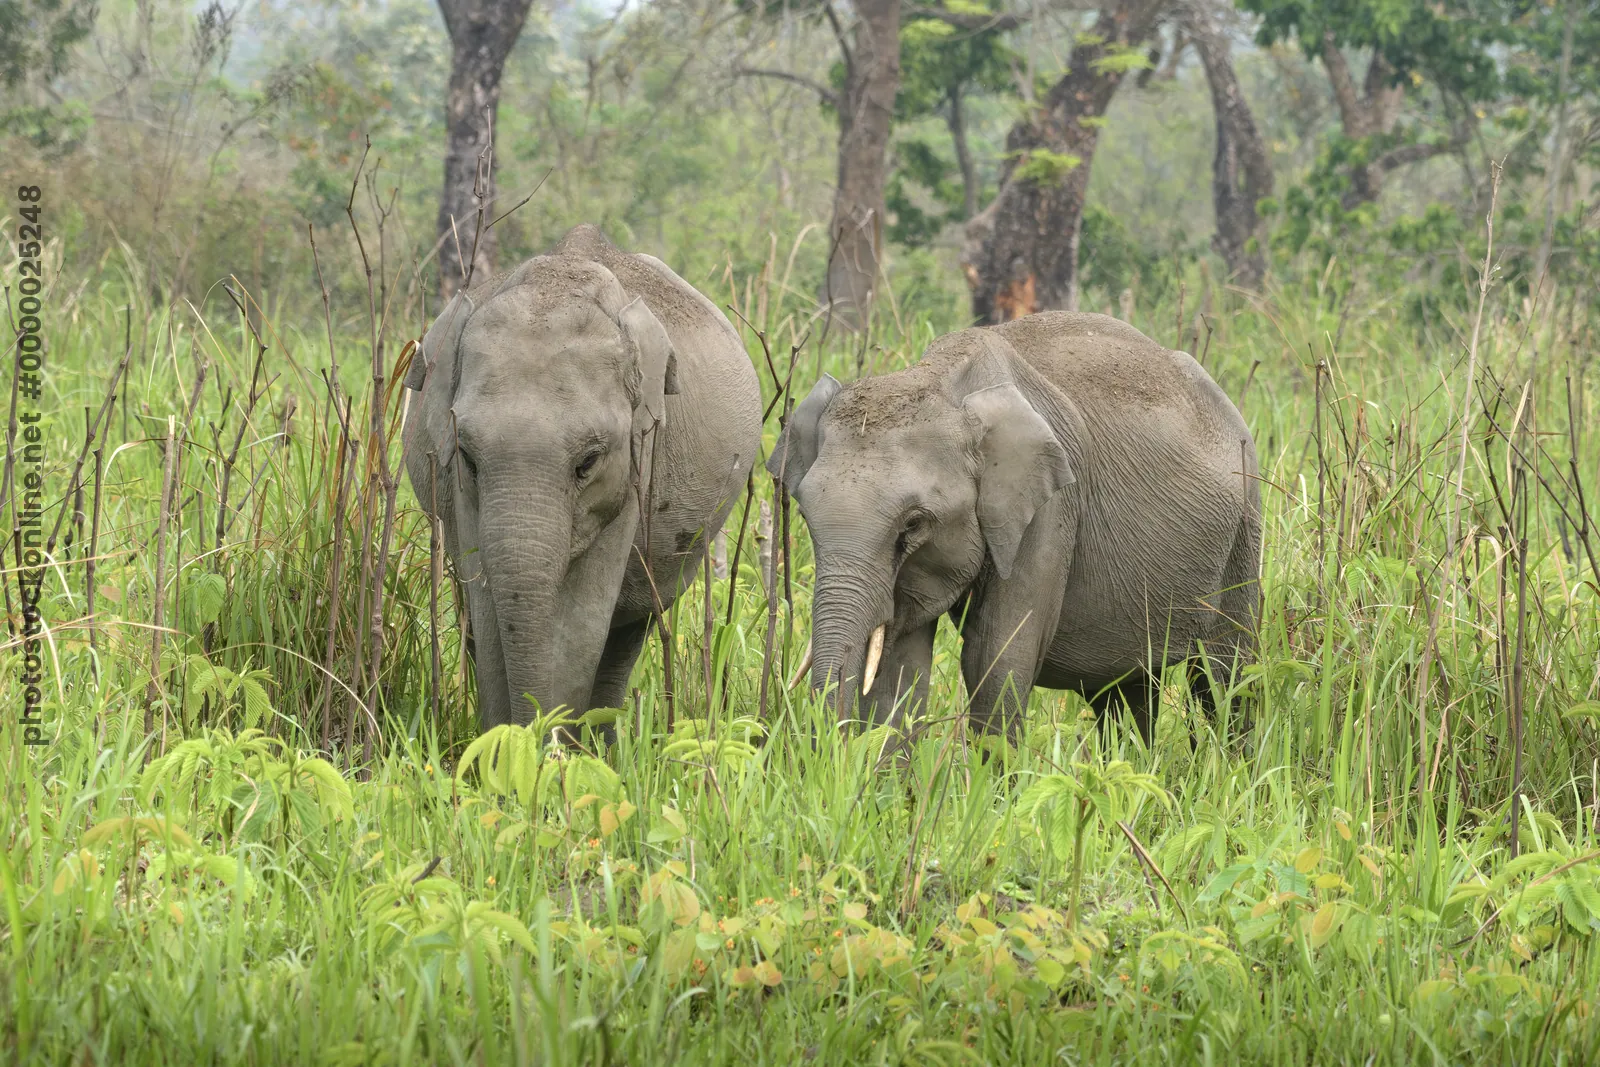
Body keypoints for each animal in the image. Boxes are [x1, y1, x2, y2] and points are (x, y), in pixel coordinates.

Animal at [402, 224, 762, 730]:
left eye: (588, 462)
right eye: (469, 459)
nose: (533, 724)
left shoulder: (635, 463)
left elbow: (584, 617)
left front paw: (552, 747)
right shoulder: (458, 488)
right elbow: (485, 598)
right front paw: (505, 742)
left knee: (629, 629)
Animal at [768, 311, 1260, 744]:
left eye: (912, 524)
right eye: (805, 515)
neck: (941, 378)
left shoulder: (1050, 508)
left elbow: (995, 657)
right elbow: (900, 667)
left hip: (1244, 529)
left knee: (1226, 676)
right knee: (1125, 693)